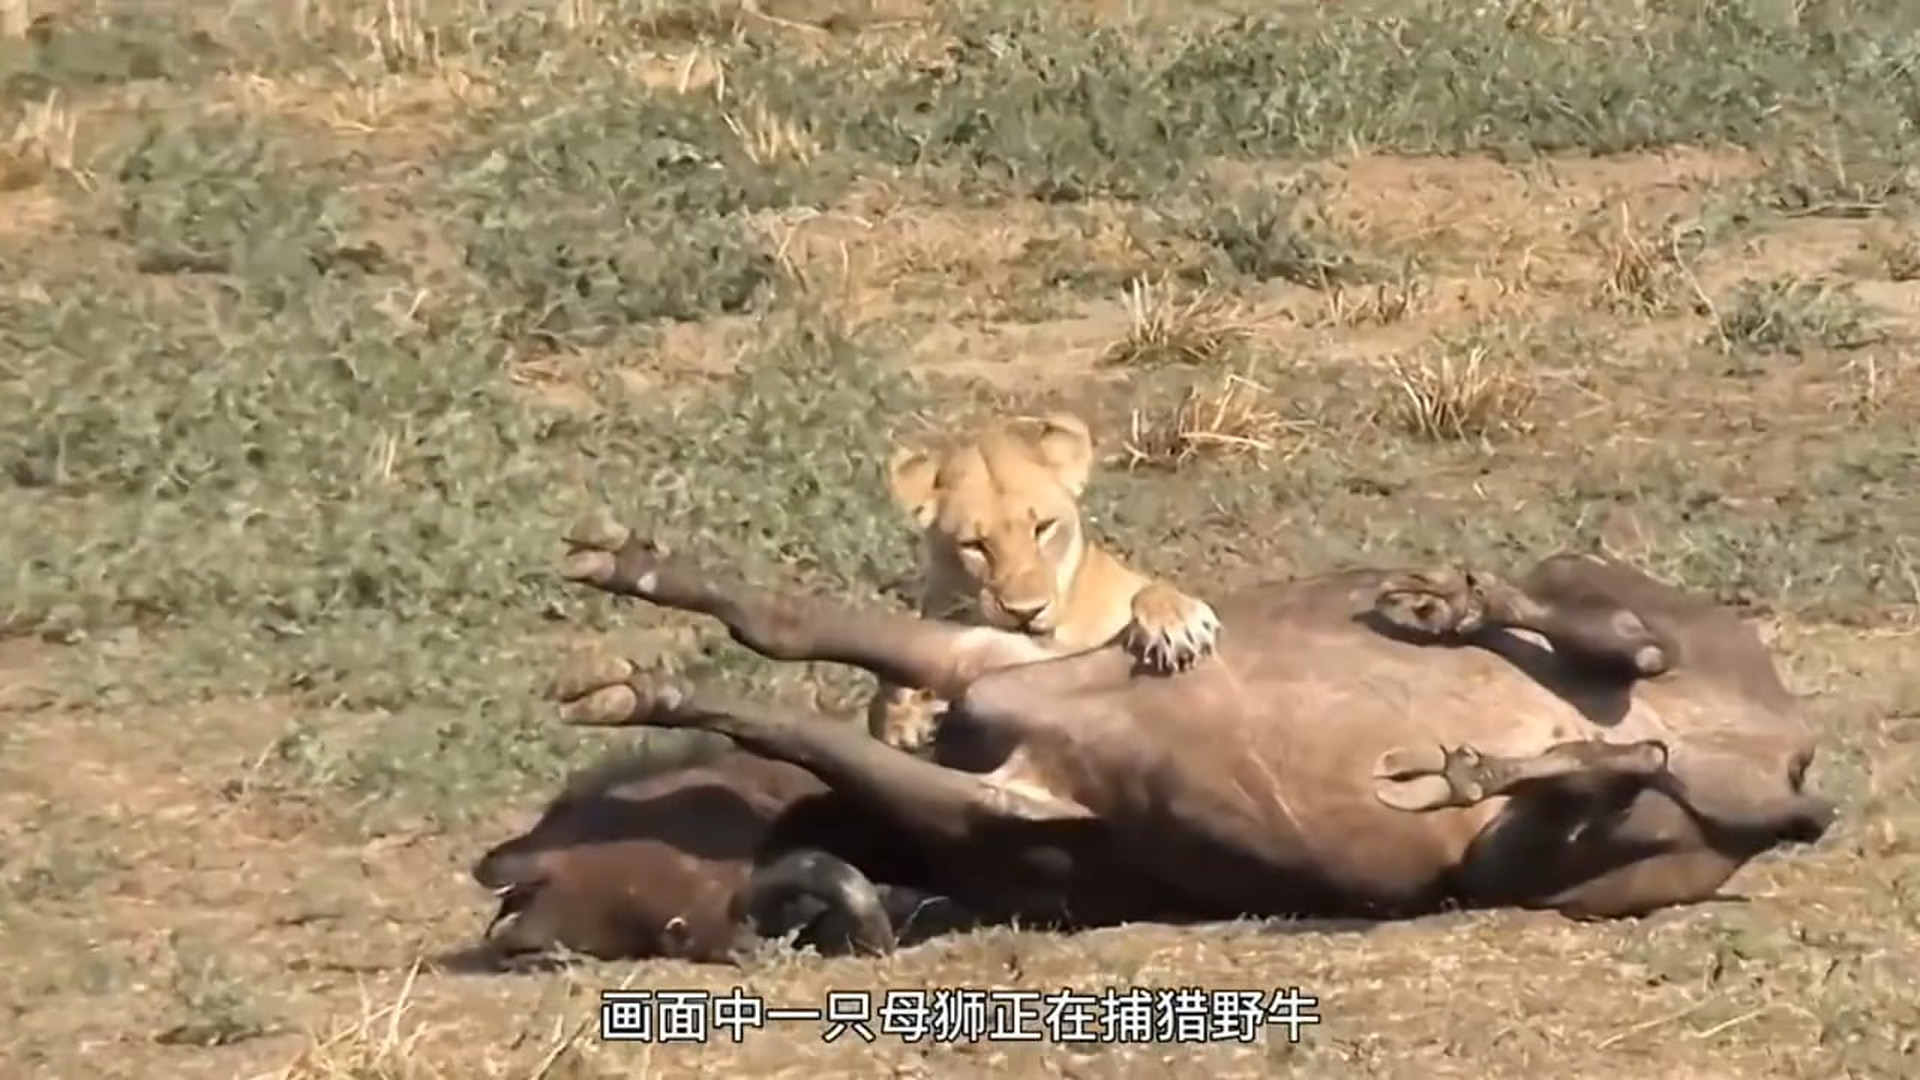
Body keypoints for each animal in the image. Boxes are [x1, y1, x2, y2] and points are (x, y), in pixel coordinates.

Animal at [866, 412, 1222, 751]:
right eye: (974, 545)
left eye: (1043, 528)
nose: (1025, 612)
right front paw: (910, 712)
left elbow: (1148, 590)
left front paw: (1177, 623)